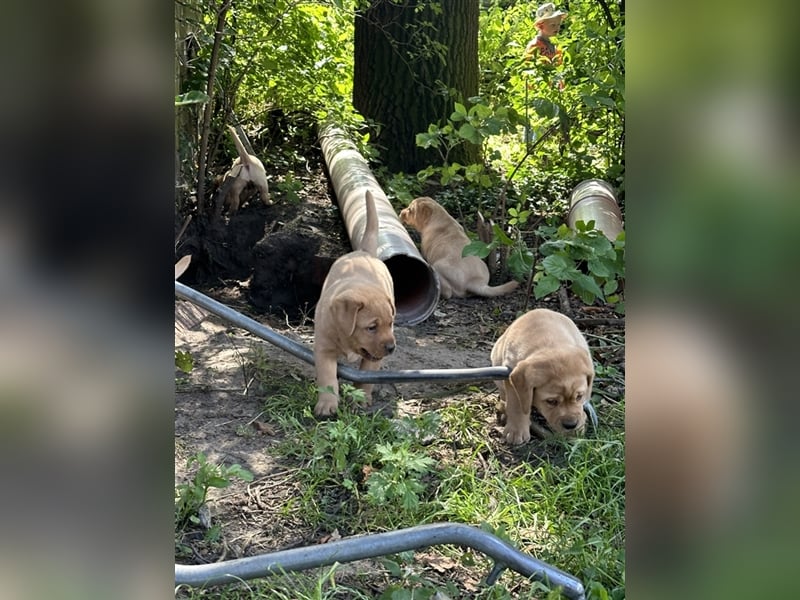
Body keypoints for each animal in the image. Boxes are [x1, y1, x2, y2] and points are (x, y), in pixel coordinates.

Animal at [314, 192, 398, 418]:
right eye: (371, 327)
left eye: (390, 324)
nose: (391, 348)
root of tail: (364, 251)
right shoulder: (324, 348)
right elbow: (327, 378)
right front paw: (327, 404)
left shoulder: (373, 357)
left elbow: (366, 378)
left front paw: (361, 399)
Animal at [490, 308, 596, 442]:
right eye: (551, 401)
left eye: (579, 396)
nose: (571, 425)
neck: (551, 345)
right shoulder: (511, 374)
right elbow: (517, 404)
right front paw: (516, 431)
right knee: (504, 395)